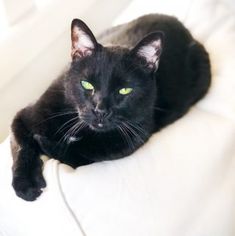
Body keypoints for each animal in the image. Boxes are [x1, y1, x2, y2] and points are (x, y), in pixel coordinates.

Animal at [10, 13, 211, 200]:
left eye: (124, 90)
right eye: (87, 84)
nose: (100, 110)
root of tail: (176, 21)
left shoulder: (128, 141)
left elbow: (74, 155)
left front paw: (45, 145)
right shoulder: (26, 116)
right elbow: (22, 146)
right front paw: (25, 185)